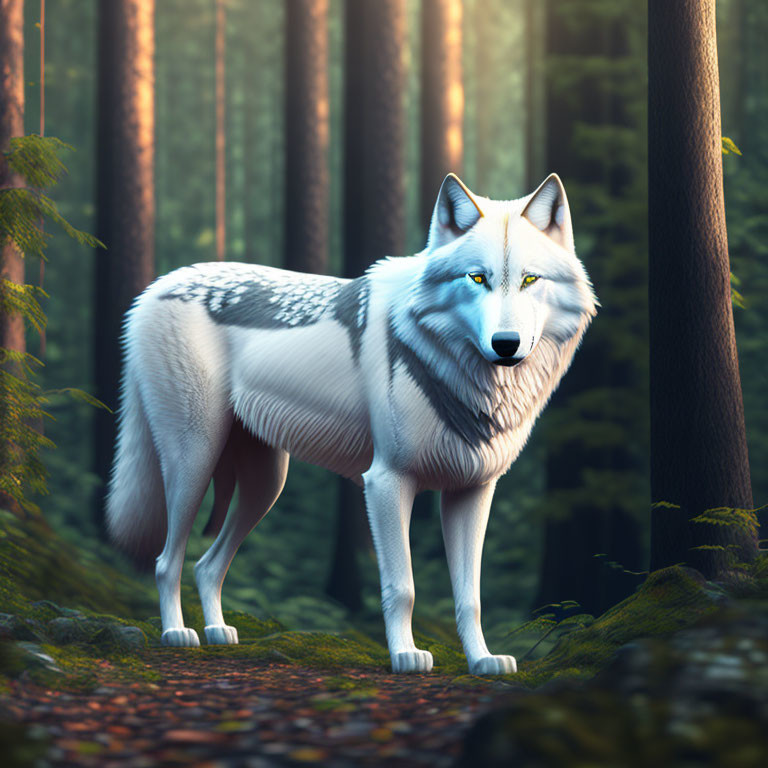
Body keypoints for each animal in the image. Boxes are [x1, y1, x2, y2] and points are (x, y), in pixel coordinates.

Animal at [108, 172, 596, 672]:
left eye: (530, 279)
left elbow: (470, 596)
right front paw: (405, 655)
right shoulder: (385, 482)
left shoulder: (473, 491)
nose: (505, 344)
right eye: (477, 278)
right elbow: (403, 588)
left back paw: (218, 633)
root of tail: (155, 287)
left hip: (266, 485)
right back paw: (176, 633)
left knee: (207, 565)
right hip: (194, 461)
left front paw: (482, 660)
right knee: (166, 561)